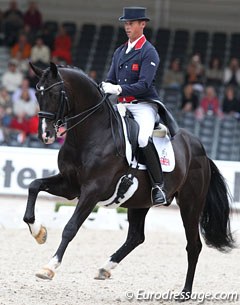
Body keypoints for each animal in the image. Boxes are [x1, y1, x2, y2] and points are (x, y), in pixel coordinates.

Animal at [23, 61, 233, 300]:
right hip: (140, 202)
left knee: (193, 245)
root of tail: (199, 148)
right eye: (37, 93)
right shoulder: (69, 185)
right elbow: (34, 186)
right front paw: (39, 233)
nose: (45, 135)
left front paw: (49, 268)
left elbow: (70, 227)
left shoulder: (92, 191)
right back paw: (105, 268)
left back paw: (185, 293)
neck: (91, 134)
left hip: (190, 204)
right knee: (136, 236)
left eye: (55, 93)